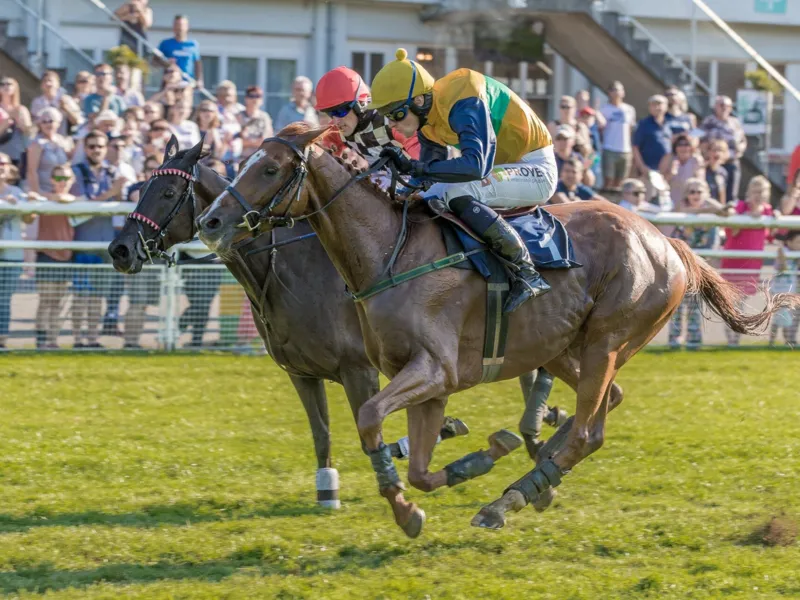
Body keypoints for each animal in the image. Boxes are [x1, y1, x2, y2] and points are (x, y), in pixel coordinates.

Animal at [195, 124, 800, 536]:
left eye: (270, 168)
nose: (210, 221)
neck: (388, 253)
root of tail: (667, 240)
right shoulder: (421, 382)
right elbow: (419, 468)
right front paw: (461, 470)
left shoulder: (431, 369)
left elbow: (368, 419)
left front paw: (415, 499)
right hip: (560, 346)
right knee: (602, 406)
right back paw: (533, 476)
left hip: (608, 339)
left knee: (588, 431)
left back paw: (514, 494)